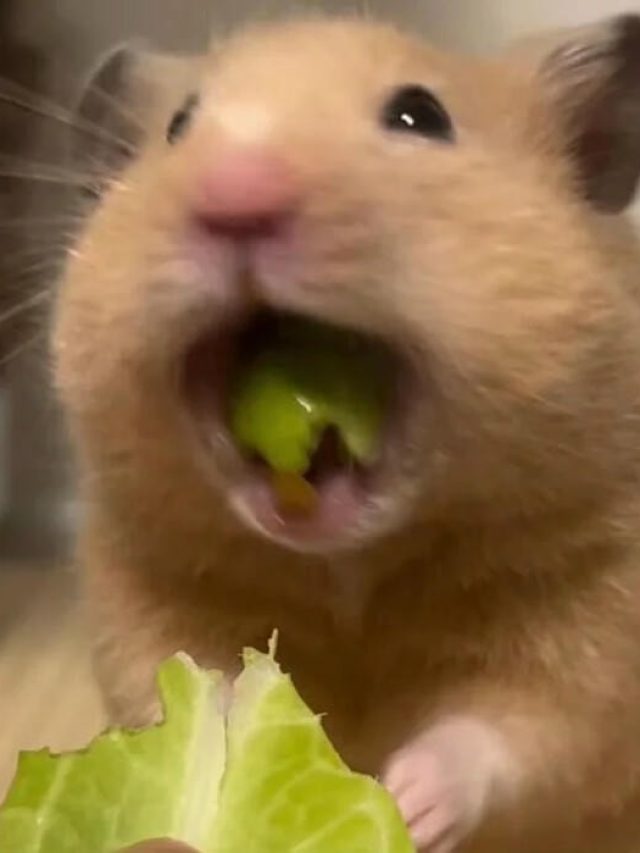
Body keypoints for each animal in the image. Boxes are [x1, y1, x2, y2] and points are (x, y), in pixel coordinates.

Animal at [54, 13, 640, 853]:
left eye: (421, 116)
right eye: (179, 126)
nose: (233, 193)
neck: (346, 569)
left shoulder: (595, 611)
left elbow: (511, 726)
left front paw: (405, 800)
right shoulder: (137, 589)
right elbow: (184, 678)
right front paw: (226, 752)